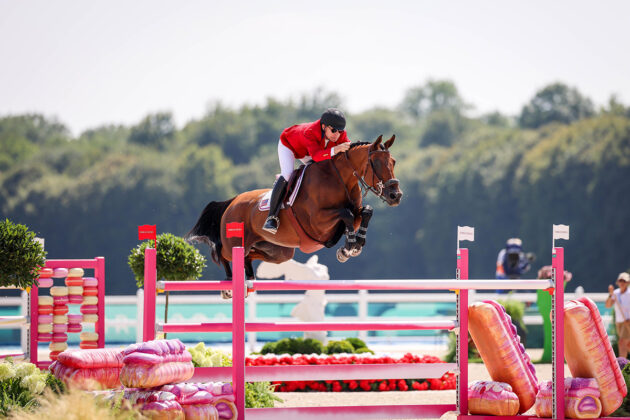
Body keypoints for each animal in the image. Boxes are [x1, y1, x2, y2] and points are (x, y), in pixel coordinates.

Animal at [188, 134, 404, 296]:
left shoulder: (350, 216)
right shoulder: (317, 224)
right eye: (376, 163)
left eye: (393, 162)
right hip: (234, 242)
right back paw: (228, 285)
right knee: (221, 252)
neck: (339, 179)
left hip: (279, 252)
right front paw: (348, 248)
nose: (396, 195)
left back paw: (249, 278)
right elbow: (346, 214)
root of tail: (232, 202)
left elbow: (365, 212)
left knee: (249, 256)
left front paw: (354, 246)